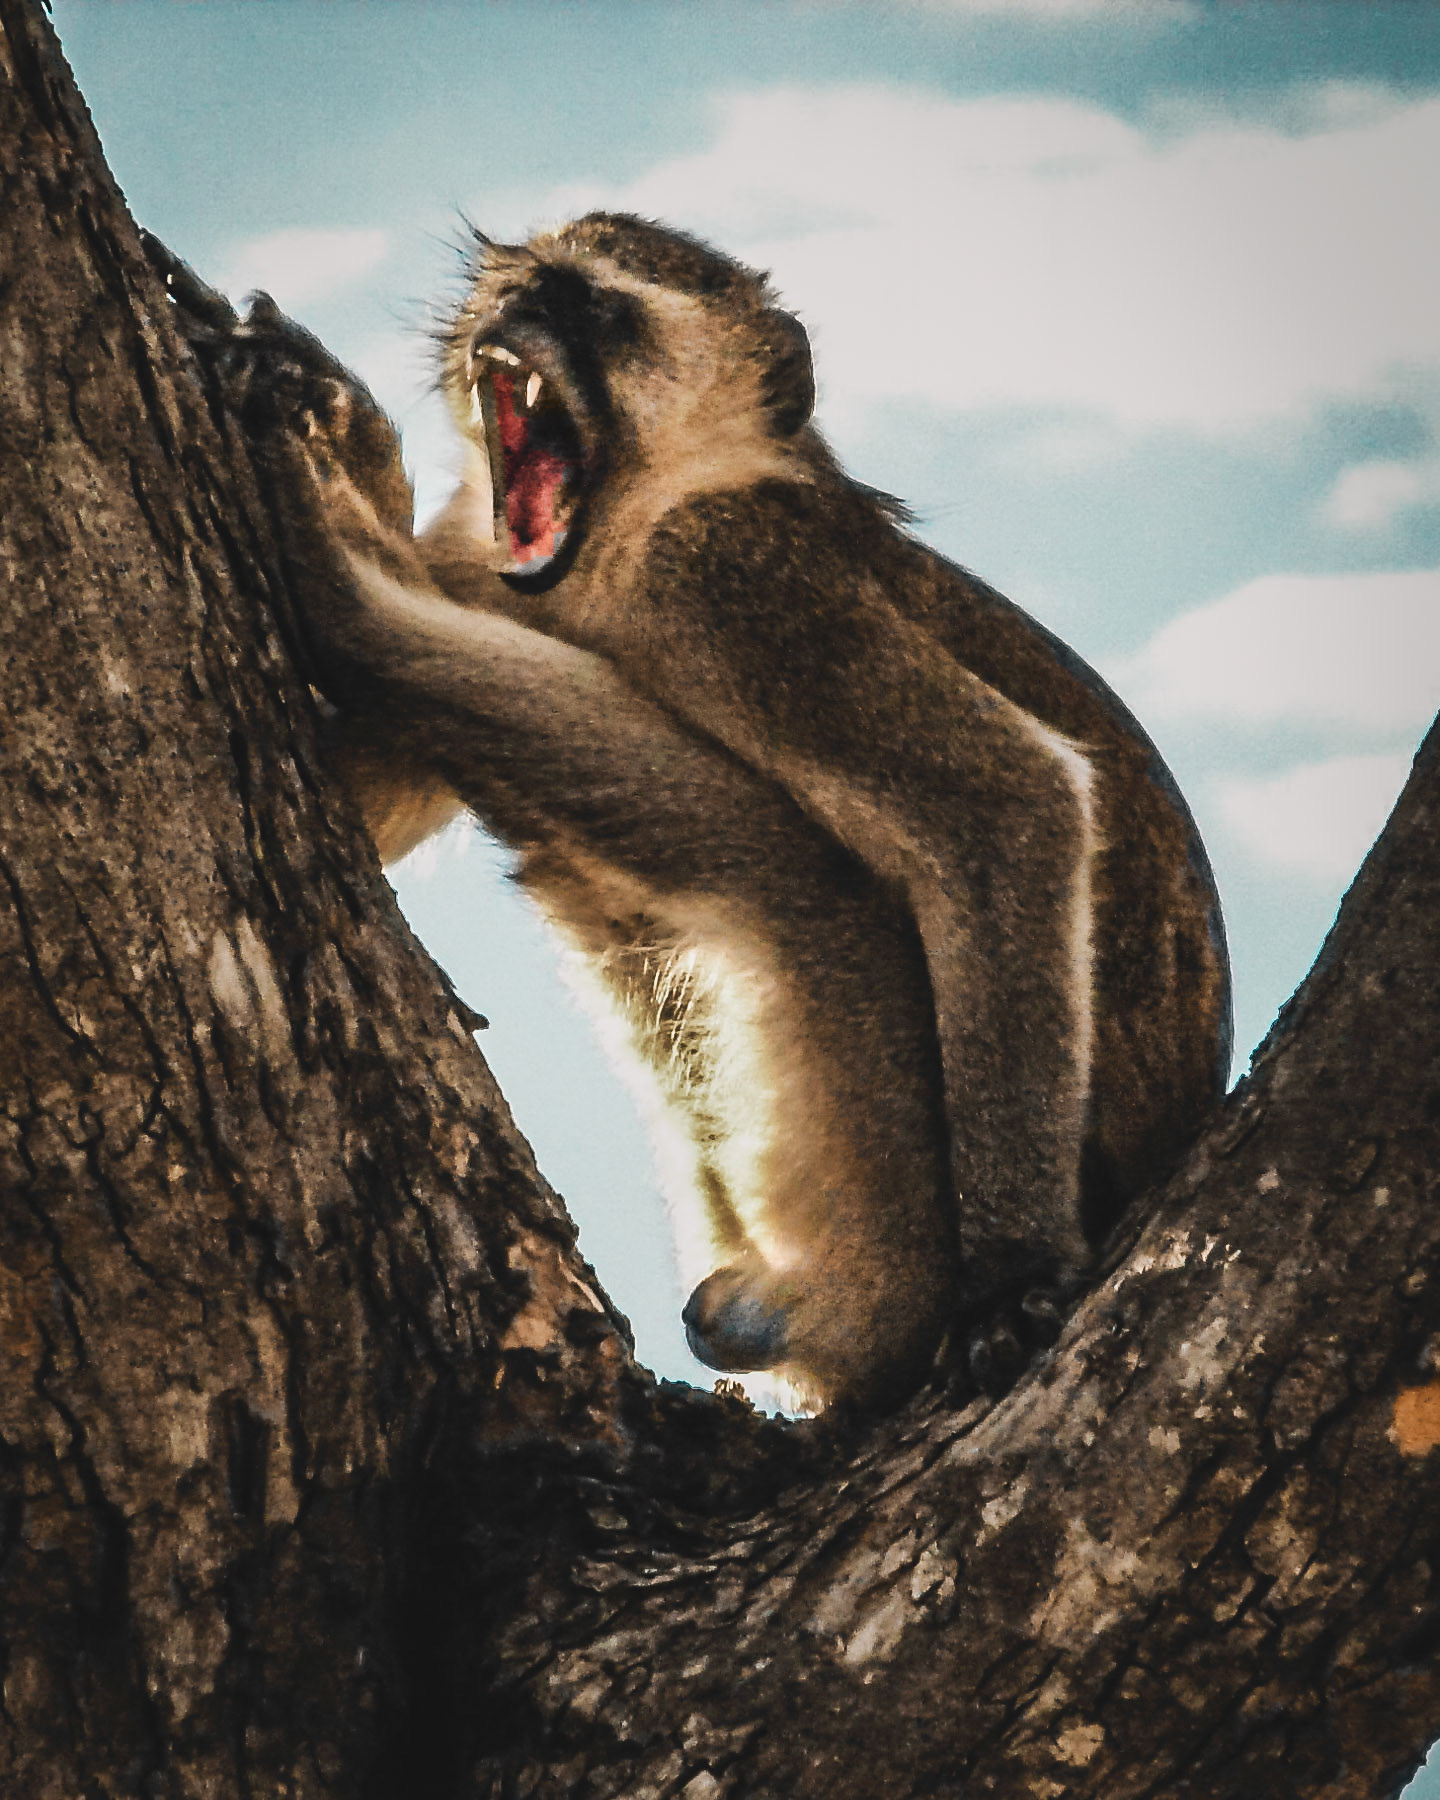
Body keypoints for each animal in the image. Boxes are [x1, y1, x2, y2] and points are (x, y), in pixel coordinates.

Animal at [153, 215, 1231, 1413]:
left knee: (795, 873)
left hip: (886, 1196)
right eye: (523, 287)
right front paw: (335, 417)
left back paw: (345, 589)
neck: (629, 528)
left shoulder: (730, 576)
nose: (512, 319)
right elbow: (352, 792)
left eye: (595, 309)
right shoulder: (476, 557)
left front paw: (1013, 1273)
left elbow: (1003, 806)